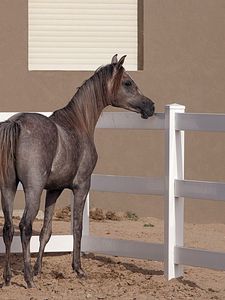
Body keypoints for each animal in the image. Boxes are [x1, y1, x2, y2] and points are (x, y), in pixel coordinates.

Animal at [0, 54, 155, 288]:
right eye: (128, 83)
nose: (150, 106)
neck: (78, 123)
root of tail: (16, 123)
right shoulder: (81, 186)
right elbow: (77, 228)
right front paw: (78, 269)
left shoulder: (54, 190)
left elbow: (46, 231)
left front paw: (38, 269)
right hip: (32, 190)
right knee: (24, 226)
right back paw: (27, 279)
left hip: (8, 187)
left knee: (8, 228)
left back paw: (9, 278)